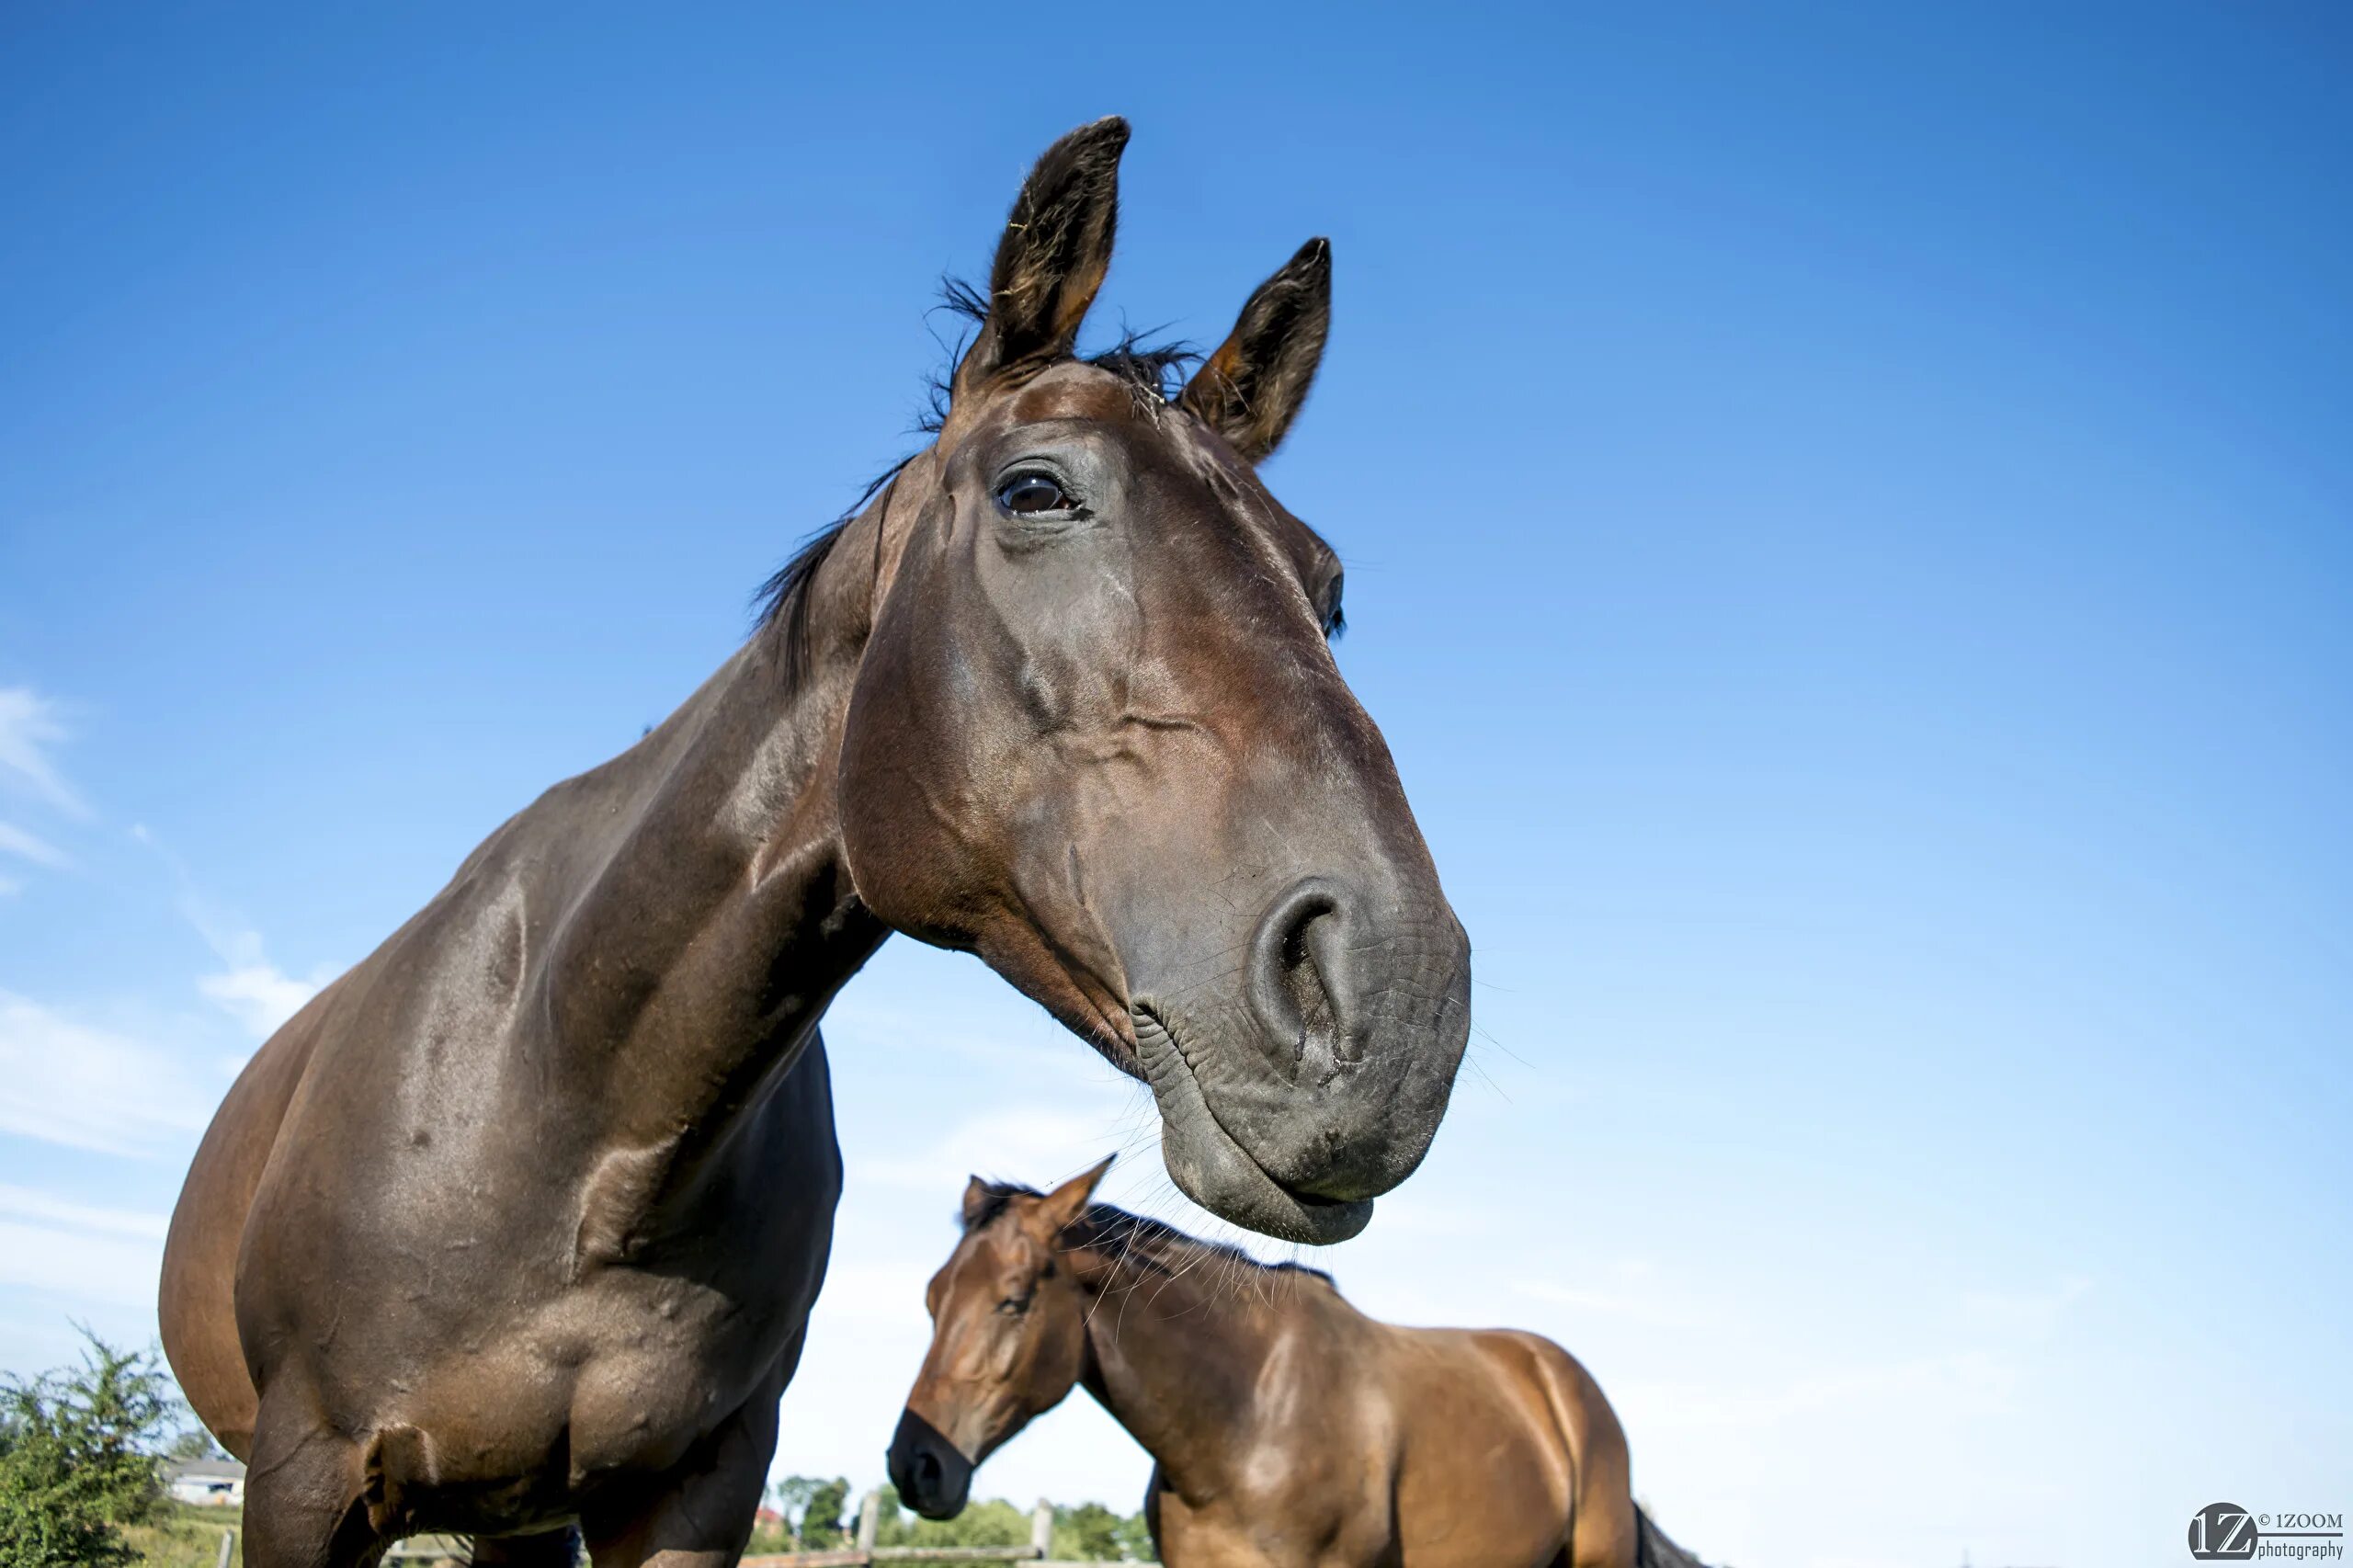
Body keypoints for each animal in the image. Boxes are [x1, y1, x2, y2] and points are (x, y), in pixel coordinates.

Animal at [152, 122, 1468, 1562]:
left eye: (1328, 589)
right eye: (1036, 489)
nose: (1396, 1002)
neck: (577, 1114)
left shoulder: (701, 1485)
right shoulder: (305, 1474)